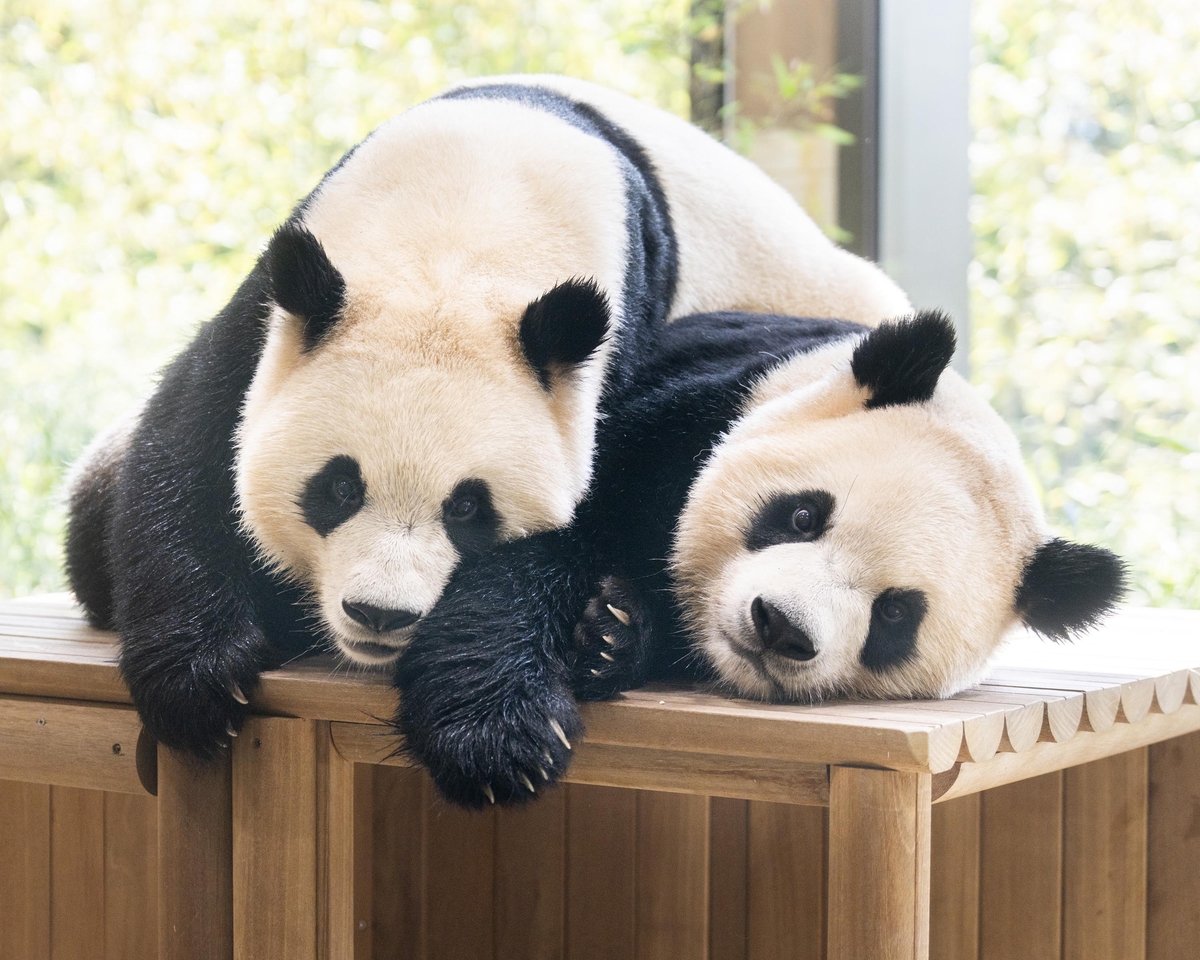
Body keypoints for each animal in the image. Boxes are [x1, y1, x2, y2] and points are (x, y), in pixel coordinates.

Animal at [64, 76, 910, 757]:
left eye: (469, 508)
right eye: (337, 488)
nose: (379, 614)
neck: (461, 232)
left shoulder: (608, 350)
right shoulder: (286, 298)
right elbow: (192, 442)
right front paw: (200, 682)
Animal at [394, 310, 1125, 808]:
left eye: (895, 615)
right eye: (802, 515)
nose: (780, 626)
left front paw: (609, 633)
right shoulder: (671, 422)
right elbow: (524, 554)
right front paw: (503, 742)